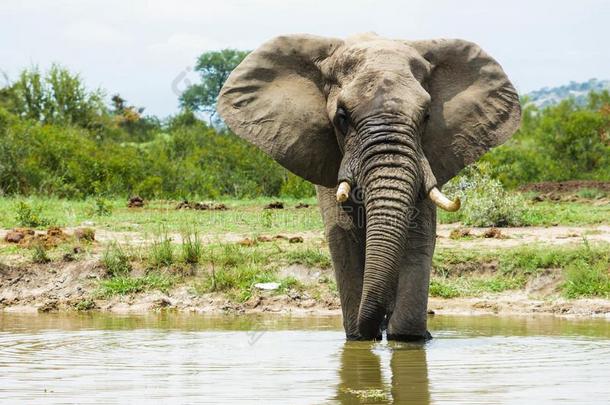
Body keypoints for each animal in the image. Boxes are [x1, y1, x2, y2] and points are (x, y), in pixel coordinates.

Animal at [216, 33, 520, 340]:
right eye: (342, 117)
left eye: (426, 117)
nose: (376, 329)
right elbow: (344, 237)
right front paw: (360, 338)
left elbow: (418, 234)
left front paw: (407, 338)